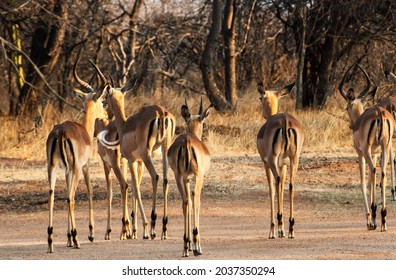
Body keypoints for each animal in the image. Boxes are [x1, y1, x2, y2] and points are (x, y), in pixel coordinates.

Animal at [46, 58, 108, 253]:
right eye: (102, 100)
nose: (106, 115)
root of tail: (60, 133)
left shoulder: (67, 171)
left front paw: (67, 238)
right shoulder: (84, 167)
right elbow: (89, 191)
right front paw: (89, 234)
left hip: (52, 168)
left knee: (53, 195)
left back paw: (50, 241)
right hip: (76, 169)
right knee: (71, 198)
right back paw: (77, 239)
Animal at [96, 82, 176, 240]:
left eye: (105, 98)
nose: (108, 115)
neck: (124, 126)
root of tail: (161, 113)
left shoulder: (131, 160)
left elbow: (135, 189)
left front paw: (141, 229)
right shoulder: (136, 161)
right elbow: (134, 186)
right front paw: (133, 231)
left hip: (146, 155)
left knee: (155, 177)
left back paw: (152, 227)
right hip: (165, 150)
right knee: (165, 181)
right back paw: (163, 229)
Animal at [167, 98, 212, 256]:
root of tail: (187, 142)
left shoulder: (186, 178)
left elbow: (188, 203)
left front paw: (189, 245)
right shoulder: (198, 176)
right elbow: (196, 202)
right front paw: (196, 246)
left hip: (178, 176)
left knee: (186, 201)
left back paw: (185, 246)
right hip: (197, 177)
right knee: (195, 199)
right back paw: (197, 246)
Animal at [255, 81, 304, 238]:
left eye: (260, 97)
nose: (263, 114)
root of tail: (285, 121)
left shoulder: (266, 163)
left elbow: (272, 190)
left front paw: (273, 230)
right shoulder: (284, 165)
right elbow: (282, 188)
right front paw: (281, 229)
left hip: (272, 160)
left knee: (275, 184)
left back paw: (280, 224)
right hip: (295, 160)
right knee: (291, 185)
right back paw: (291, 228)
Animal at [338, 64, 394, 231]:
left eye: (346, 107)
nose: (351, 125)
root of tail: (380, 113)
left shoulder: (361, 153)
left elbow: (363, 183)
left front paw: (369, 220)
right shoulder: (375, 153)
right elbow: (371, 182)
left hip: (367, 151)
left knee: (375, 171)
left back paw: (375, 218)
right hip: (385, 147)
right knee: (383, 174)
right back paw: (383, 219)